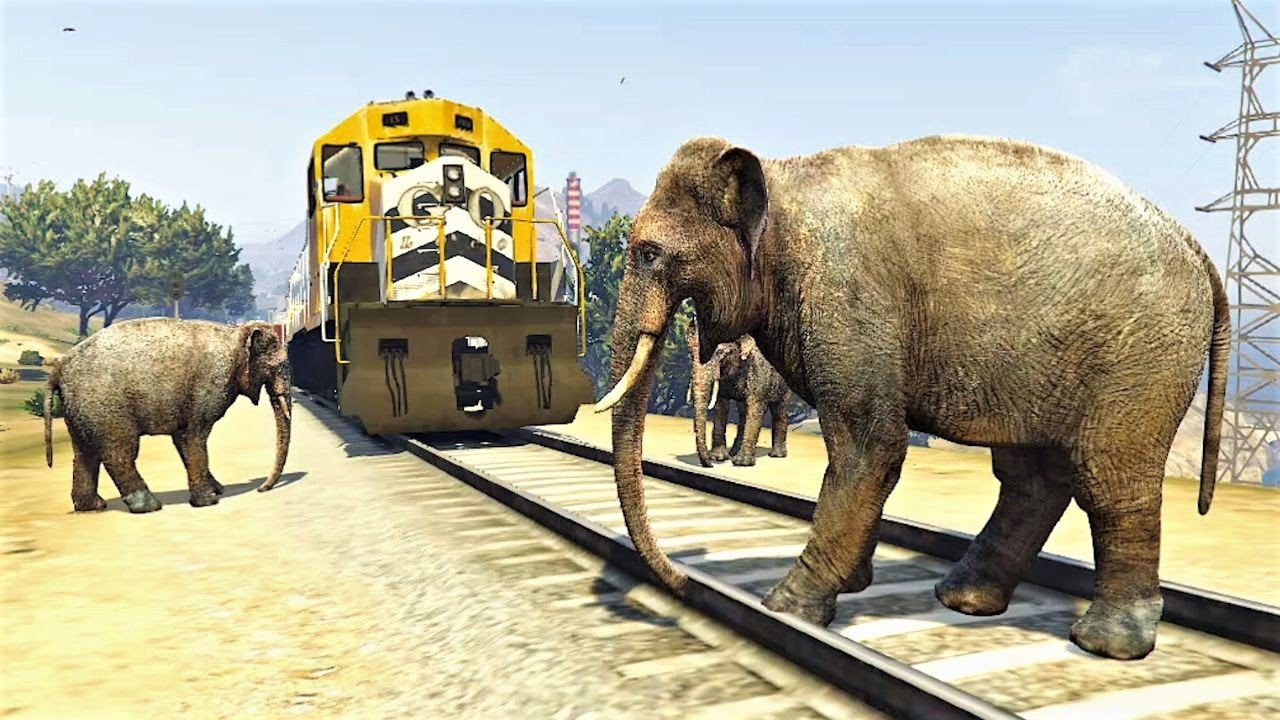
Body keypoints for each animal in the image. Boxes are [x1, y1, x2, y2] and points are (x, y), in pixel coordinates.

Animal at [44, 318, 294, 513]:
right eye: (280, 365)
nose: (262, 488)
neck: (234, 333)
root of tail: (59, 366)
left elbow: (182, 439)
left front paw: (217, 490)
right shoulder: (209, 384)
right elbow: (193, 436)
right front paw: (209, 501)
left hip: (79, 407)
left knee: (85, 452)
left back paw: (93, 506)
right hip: (106, 405)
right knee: (120, 451)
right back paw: (149, 506)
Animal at [687, 317, 792, 467]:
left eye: (721, 353)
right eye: (691, 351)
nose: (709, 465)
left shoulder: (758, 371)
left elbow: (755, 407)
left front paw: (742, 463)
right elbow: (721, 406)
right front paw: (718, 458)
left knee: (780, 409)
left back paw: (776, 455)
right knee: (743, 411)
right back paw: (733, 452)